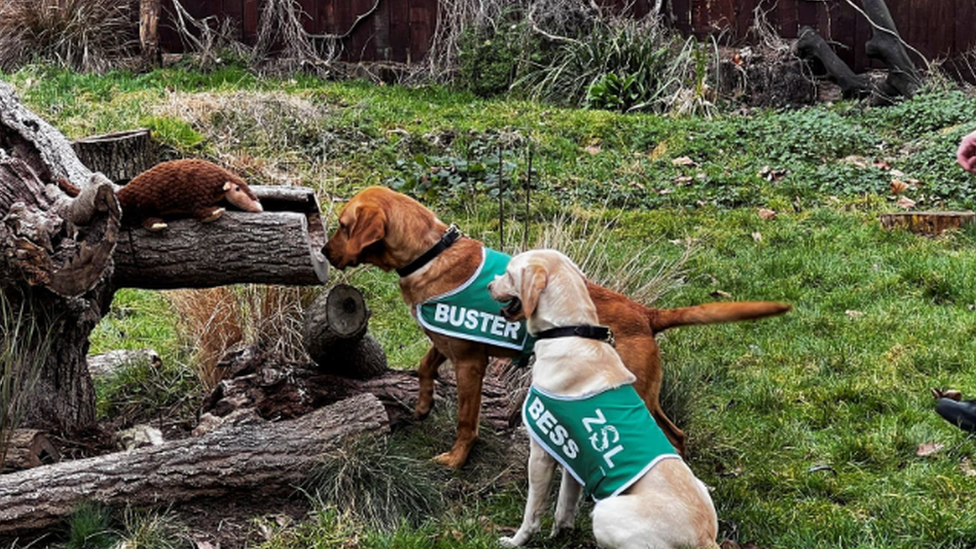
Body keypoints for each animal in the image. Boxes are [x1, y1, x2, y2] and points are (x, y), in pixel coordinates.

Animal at [324, 187, 788, 466]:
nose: (326, 253)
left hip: (633, 395)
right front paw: (421, 406)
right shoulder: (447, 342)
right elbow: (423, 368)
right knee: (678, 435)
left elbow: (465, 421)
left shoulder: (470, 362)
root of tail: (645, 313)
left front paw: (456, 459)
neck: (429, 253)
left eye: (344, 226)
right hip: (647, 395)